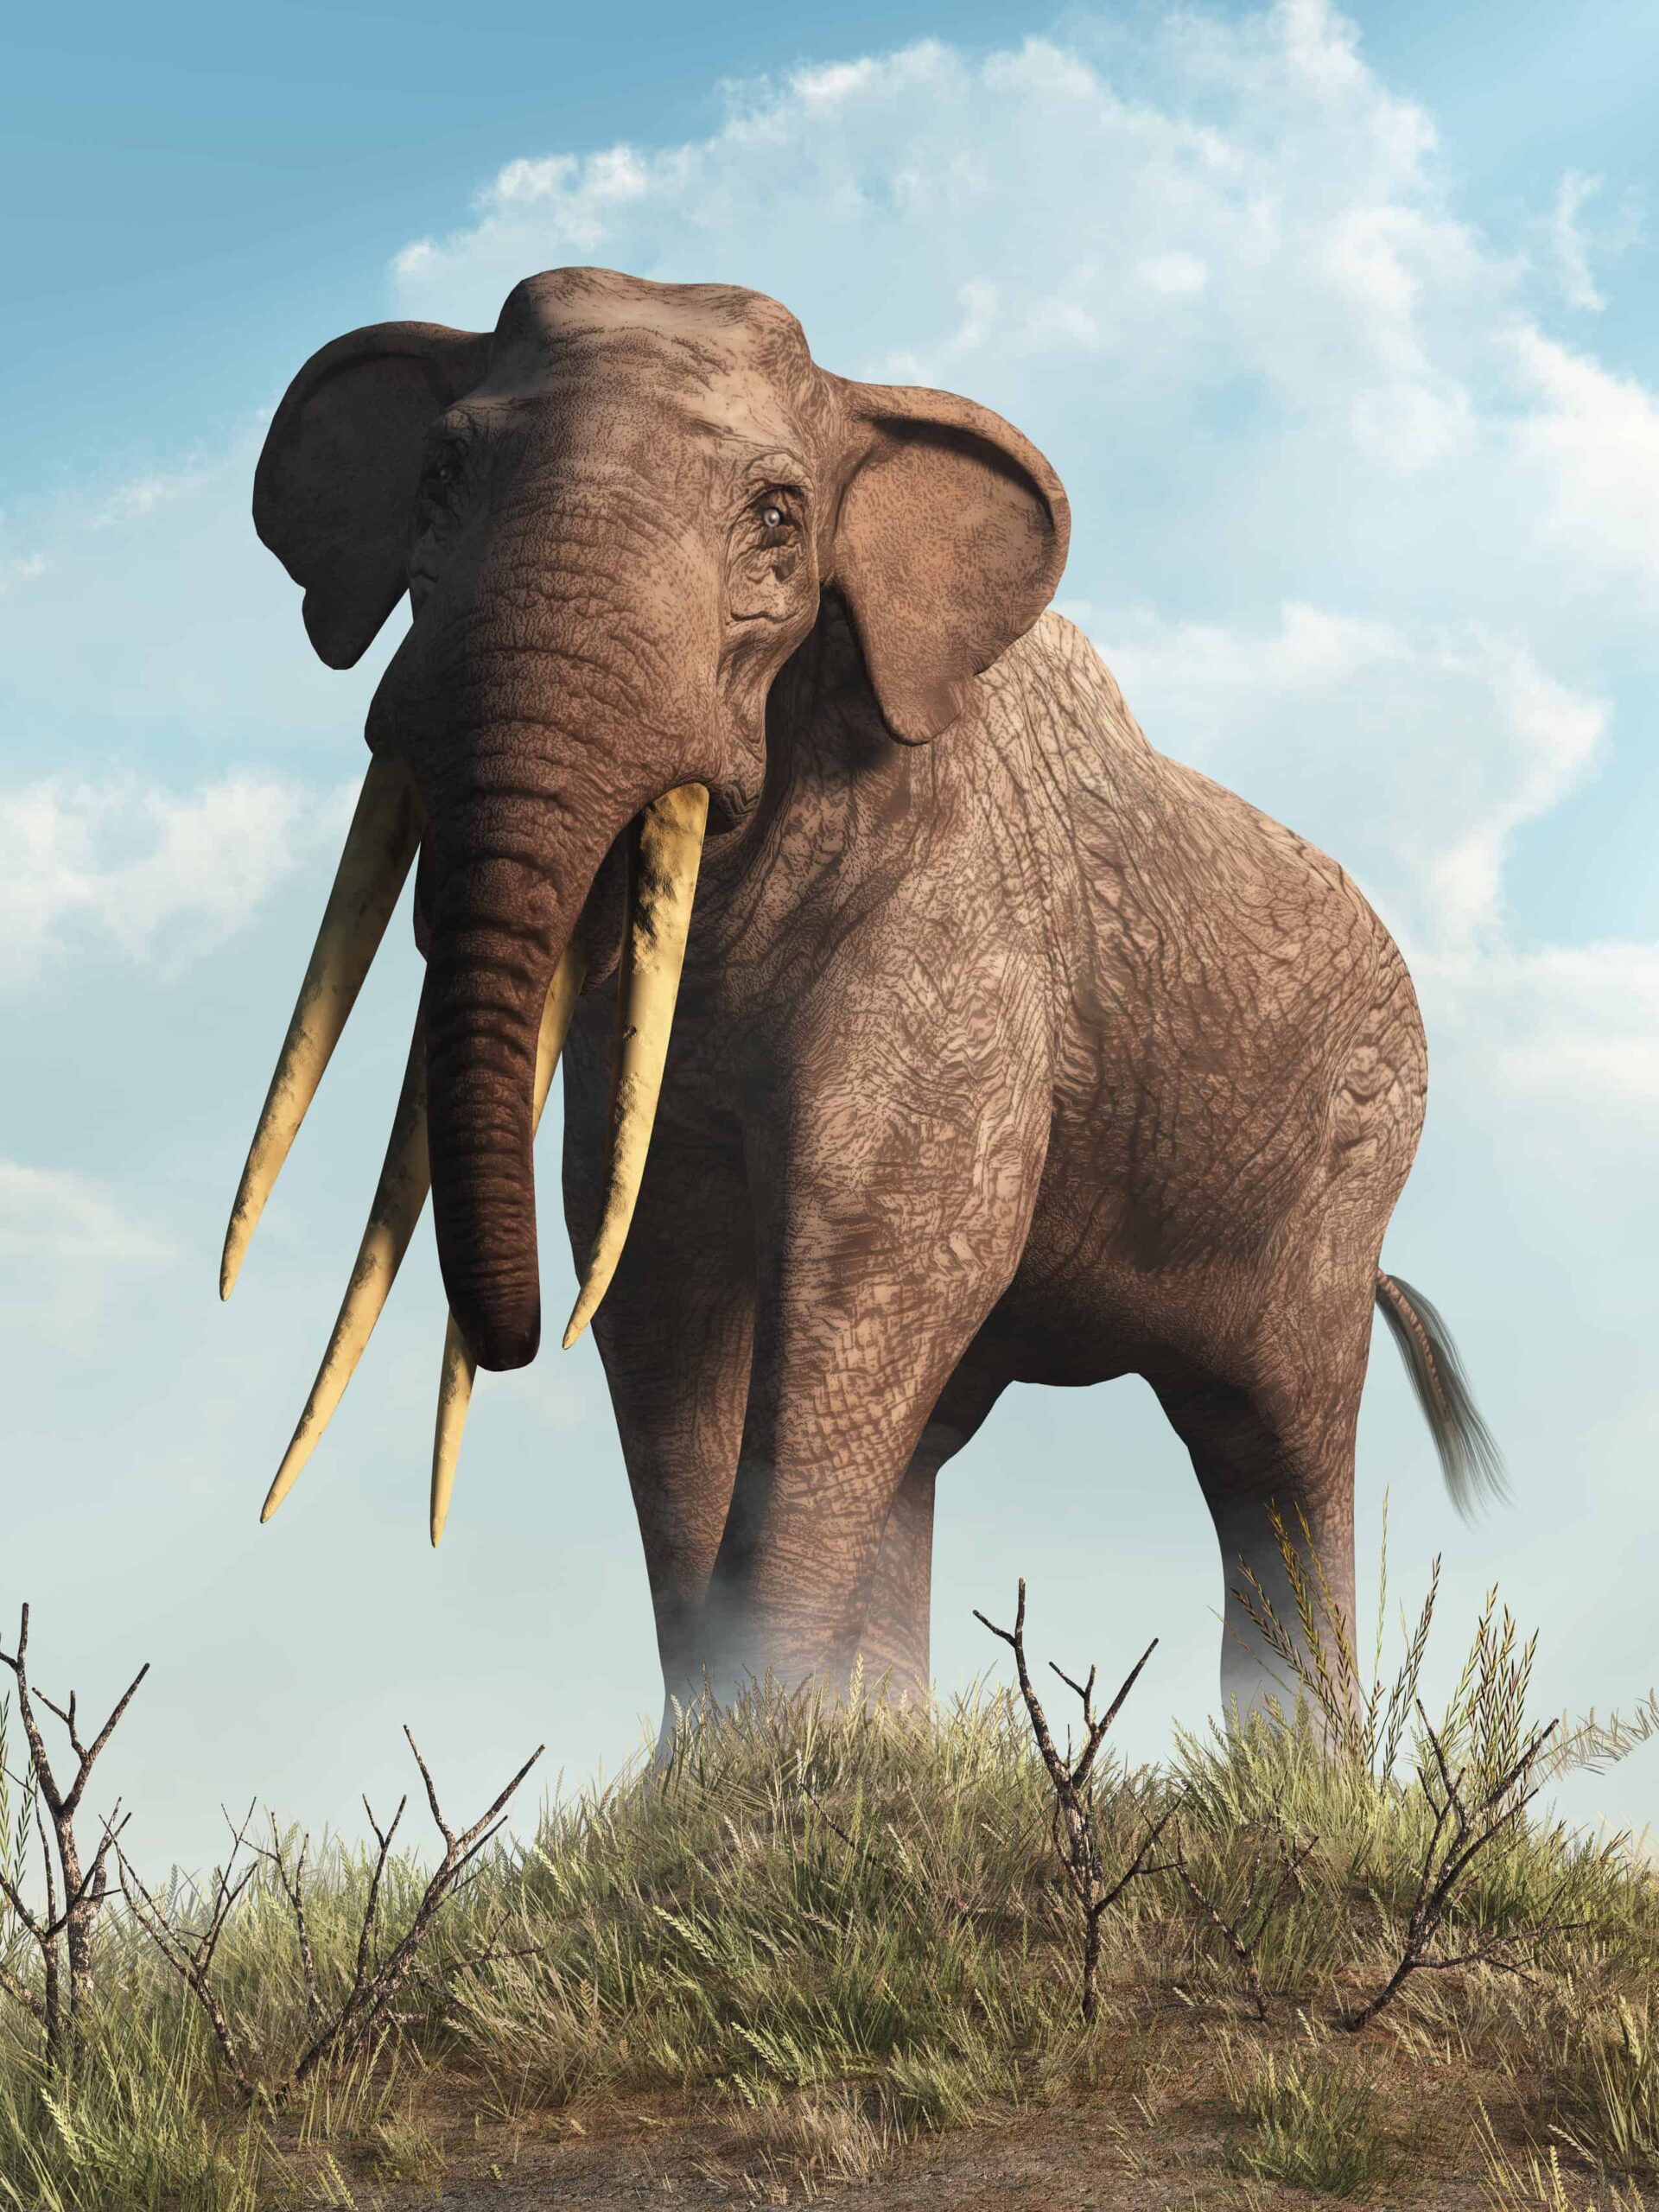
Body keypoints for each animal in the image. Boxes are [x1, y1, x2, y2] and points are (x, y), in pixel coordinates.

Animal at [223, 264, 1499, 1722]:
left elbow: (880, 1251)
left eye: (779, 517)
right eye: (438, 475)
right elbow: (658, 1265)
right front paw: (750, 1752)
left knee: (1271, 1439)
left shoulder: (960, 928)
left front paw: (740, 1751)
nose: (516, 1334)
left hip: (1344, 1173)